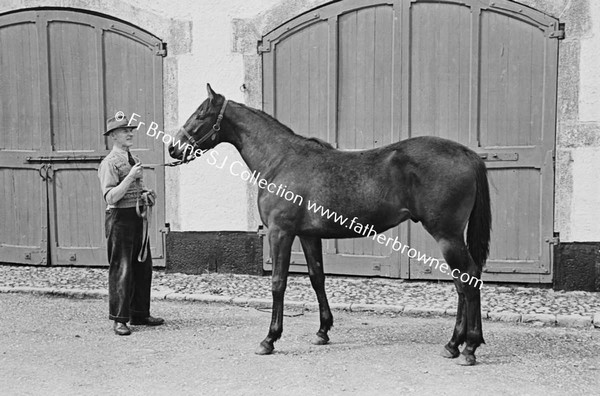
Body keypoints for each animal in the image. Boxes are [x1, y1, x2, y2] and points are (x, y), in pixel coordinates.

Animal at [170, 85, 492, 366]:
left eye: (200, 115)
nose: (173, 148)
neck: (280, 161)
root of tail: (466, 153)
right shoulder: (307, 236)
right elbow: (317, 278)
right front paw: (323, 331)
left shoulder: (280, 233)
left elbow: (278, 283)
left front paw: (270, 339)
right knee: (462, 282)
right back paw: (455, 344)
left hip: (446, 235)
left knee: (468, 278)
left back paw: (469, 347)